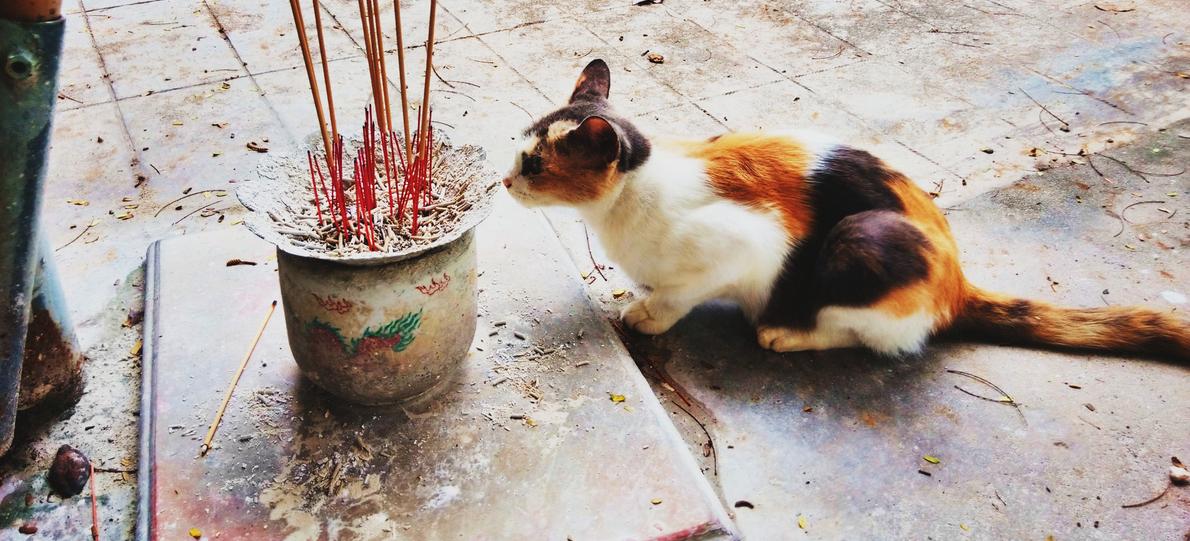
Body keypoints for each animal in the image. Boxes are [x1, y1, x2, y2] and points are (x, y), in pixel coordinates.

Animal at [504, 59, 1190, 359]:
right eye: (518, 150)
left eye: (534, 164)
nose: (506, 180)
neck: (629, 197)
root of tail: (958, 282)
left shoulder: (741, 249)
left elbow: (680, 295)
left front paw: (650, 313)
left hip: (861, 238)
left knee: (878, 335)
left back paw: (784, 332)